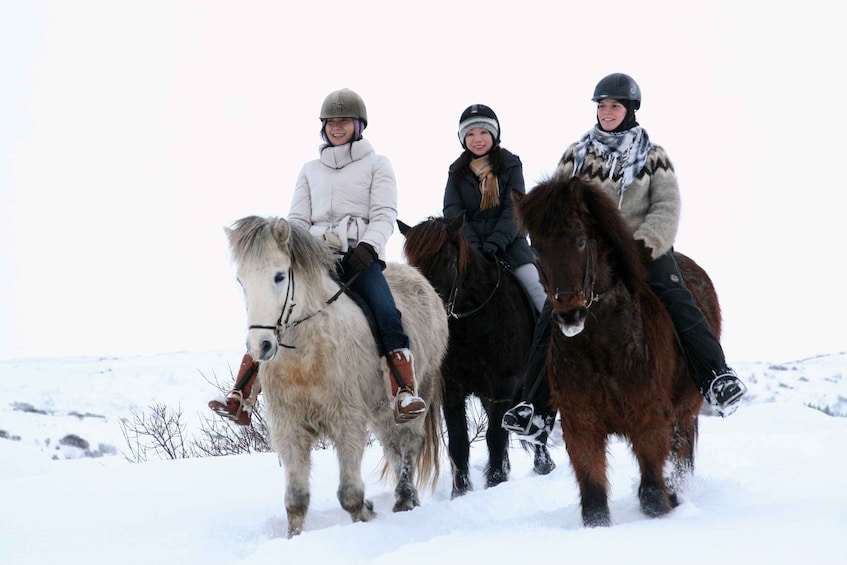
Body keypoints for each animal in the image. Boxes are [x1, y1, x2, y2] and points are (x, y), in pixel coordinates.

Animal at [225, 216, 450, 536]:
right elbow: (296, 500)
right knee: (392, 446)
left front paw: (365, 515)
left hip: (421, 390)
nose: (260, 346)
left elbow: (350, 495)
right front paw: (294, 538)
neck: (305, 355)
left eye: (279, 276)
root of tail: (422, 282)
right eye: (241, 280)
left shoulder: (347, 421)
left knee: (410, 442)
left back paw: (404, 498)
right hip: (382, 410)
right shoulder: (289, 426)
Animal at [512, 177, 712, 528]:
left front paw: (666, 502)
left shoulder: (649, 418)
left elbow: (652, 496)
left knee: (681, 458)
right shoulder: (580, 424)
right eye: (536, 247)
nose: (570, 314)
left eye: (580, 240)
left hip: (685, 411)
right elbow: (594, 503)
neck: (601, 346)